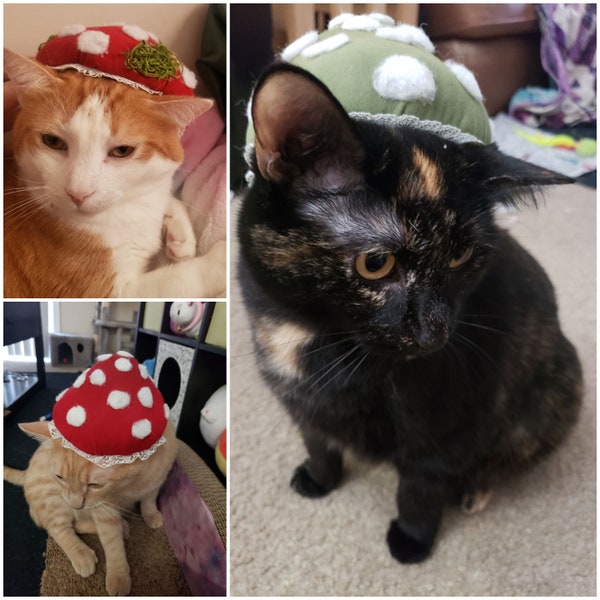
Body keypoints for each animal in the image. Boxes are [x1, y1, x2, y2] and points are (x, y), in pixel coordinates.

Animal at [4, 48, 227, 298]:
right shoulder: (106, 292)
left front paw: (180, 233)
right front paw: (221, 259)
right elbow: (181, 279)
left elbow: (165, 193)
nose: (78, 193)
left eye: (122, 151)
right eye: (52, 141)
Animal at [4, 418, 178, 596]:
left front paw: (151, 515)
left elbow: (149, 500)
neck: (130, 486)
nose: (75, 504)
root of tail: (26, 473)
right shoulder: (103, 509)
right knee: (57, 528)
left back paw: (121, 526)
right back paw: (83, 553)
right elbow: (112, 544)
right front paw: (118, 577)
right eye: (60, 477)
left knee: (75, 523)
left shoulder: (158, 479)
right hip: (53, 500)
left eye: (94, 485)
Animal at [238, 64, 580, 564]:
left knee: (506, 457)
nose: (435, 334)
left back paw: (475, 491)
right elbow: (319, 443)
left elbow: (419, 485)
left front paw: (412, 541)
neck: (308, 336)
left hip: (555, 390)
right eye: (376, 263)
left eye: (461, 257)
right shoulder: (300, 405)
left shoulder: (441, 417)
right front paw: (320, 479)